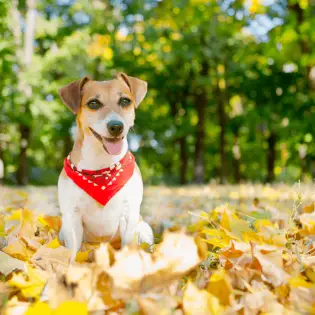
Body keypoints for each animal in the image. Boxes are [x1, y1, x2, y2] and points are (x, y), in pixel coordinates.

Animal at [58, 73, 156, 260]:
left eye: (125, 101)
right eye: (93, 103)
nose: (116, 126)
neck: (101, 167)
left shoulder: (129, 214)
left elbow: (128, 245)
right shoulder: (72, 216)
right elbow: (72, 253)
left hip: (144, 229)